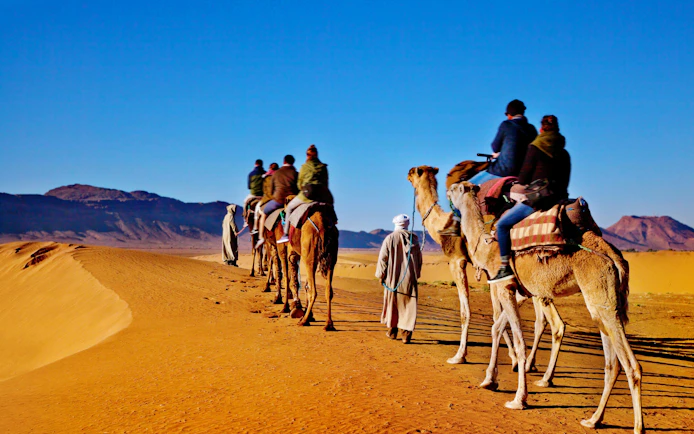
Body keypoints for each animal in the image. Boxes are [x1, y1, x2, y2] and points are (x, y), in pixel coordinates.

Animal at [406, 166, 559, 374]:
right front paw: (513, 358)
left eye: (414, 172)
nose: (407, 174)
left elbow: (467, 311)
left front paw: (460, 356)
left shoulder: (457, 261)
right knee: (543, 321)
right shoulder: (490, 273)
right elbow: (496, 314)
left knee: (550, 321)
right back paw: (532, 365)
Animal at [447, 178, 643, 433]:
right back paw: (593, 419)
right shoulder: (521, 290)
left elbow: (518, 340)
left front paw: (518, 399)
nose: (447, 189)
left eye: (456, 189)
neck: (485, 245)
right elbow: (496, 328)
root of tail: (614, 256)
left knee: (631, 366)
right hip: (603, 304)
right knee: (612, 364)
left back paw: (637, 427)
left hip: (601, 297)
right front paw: (489, 380)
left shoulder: (504, 286)